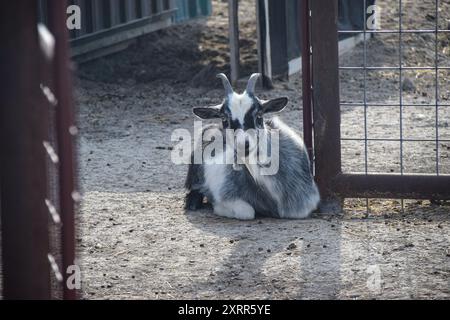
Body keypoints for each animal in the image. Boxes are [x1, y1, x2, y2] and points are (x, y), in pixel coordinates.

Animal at [185, 72, 320, 219]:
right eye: (224, 119)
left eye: (259, 115)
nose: (243, 145)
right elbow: (247, 212)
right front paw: (217, 206)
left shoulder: (306, 204)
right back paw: (192, 202)